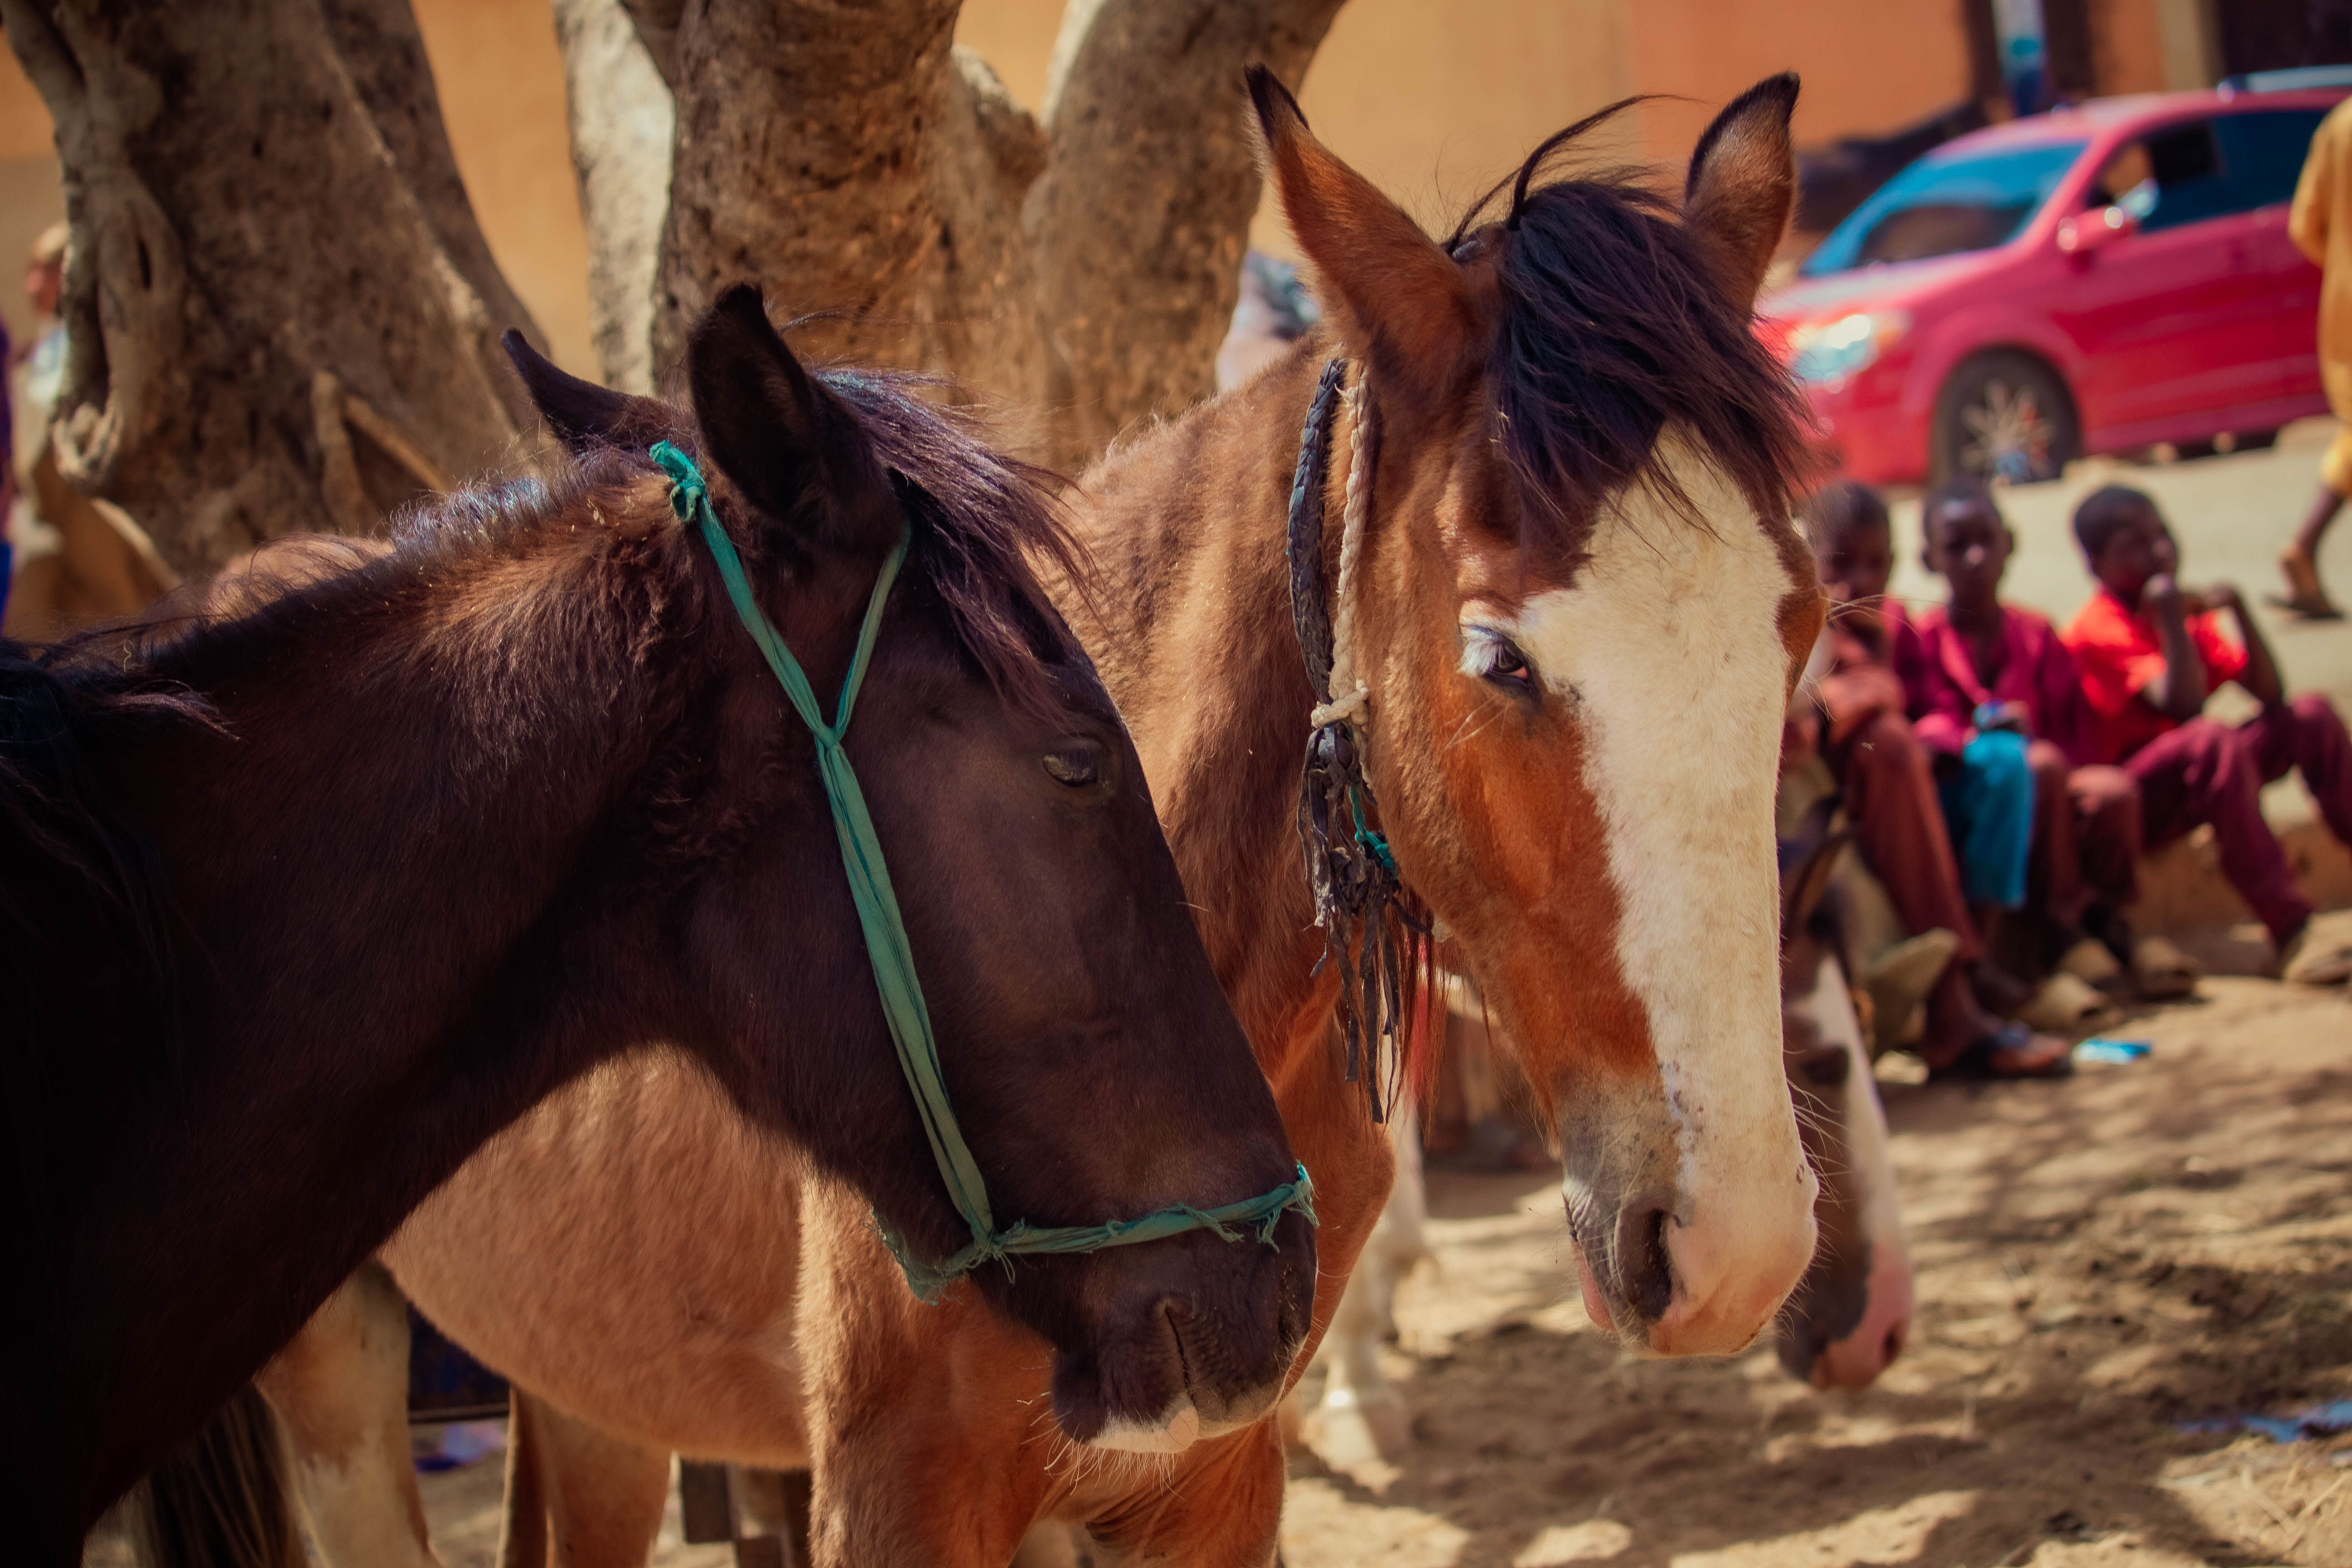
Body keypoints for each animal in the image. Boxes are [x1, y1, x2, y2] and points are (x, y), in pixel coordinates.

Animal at [243, 69, 1834, 1567]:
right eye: (1501, 660)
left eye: (1803, 631)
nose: (1737, 1248)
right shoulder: (896, 1497)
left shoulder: (1212, 1488)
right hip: (337, 1381)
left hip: (594, 1391)